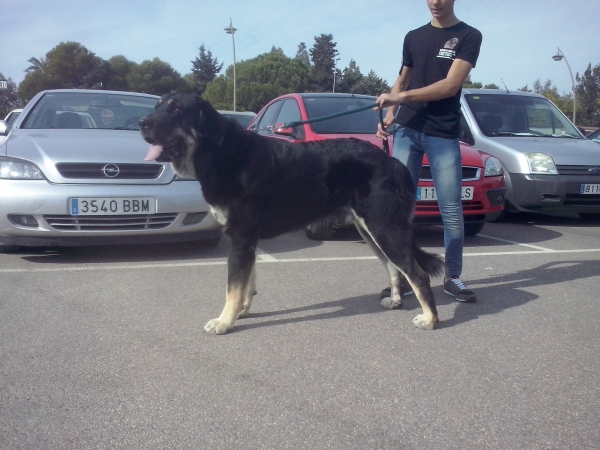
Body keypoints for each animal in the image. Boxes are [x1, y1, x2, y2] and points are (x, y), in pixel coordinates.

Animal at [138, 94, 442, 334]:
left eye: (177, 110)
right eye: (158, 106)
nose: (142, 123)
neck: (219, 151)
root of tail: (392, 162)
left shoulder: (241, 236)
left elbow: (232, 286)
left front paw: (224, 321)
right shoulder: (246, 239)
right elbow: (246, 281)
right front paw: (243, 311)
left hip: (384, 226)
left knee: (417, 274)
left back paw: (430, 319)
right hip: (370, 229)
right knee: (394, 268)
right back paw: (395, 301)